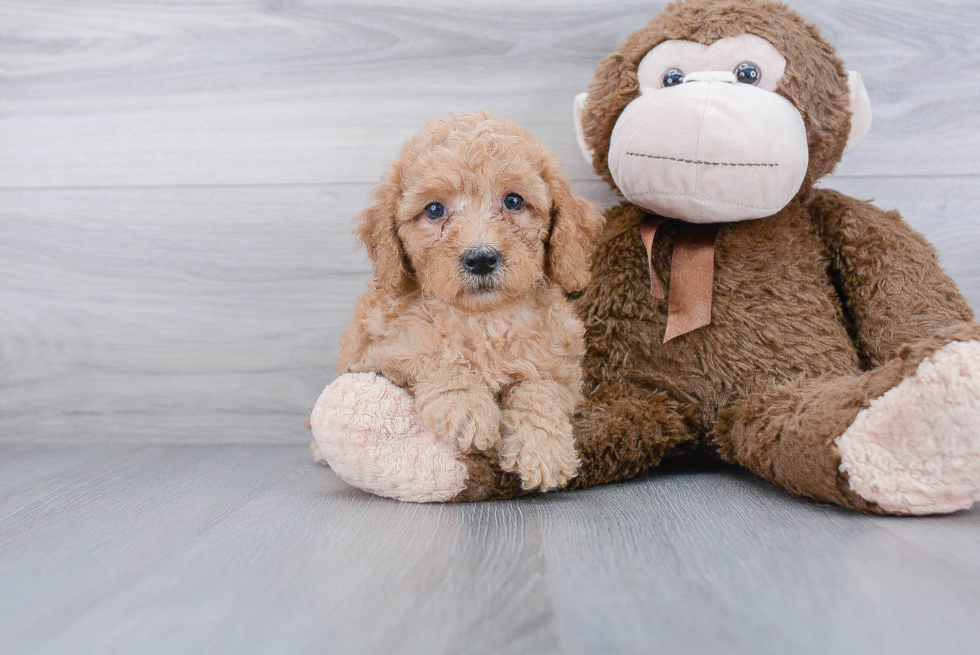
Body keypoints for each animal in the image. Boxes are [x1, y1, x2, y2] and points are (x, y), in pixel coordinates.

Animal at [330, 113, 604, 492]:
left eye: (514, 201)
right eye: (434, 209)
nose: (481, 259)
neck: (484, 319)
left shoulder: (560, 370)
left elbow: (539, 390)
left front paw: (542, 449)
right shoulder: (383, 355)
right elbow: (437, 357)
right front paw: (467, 408)